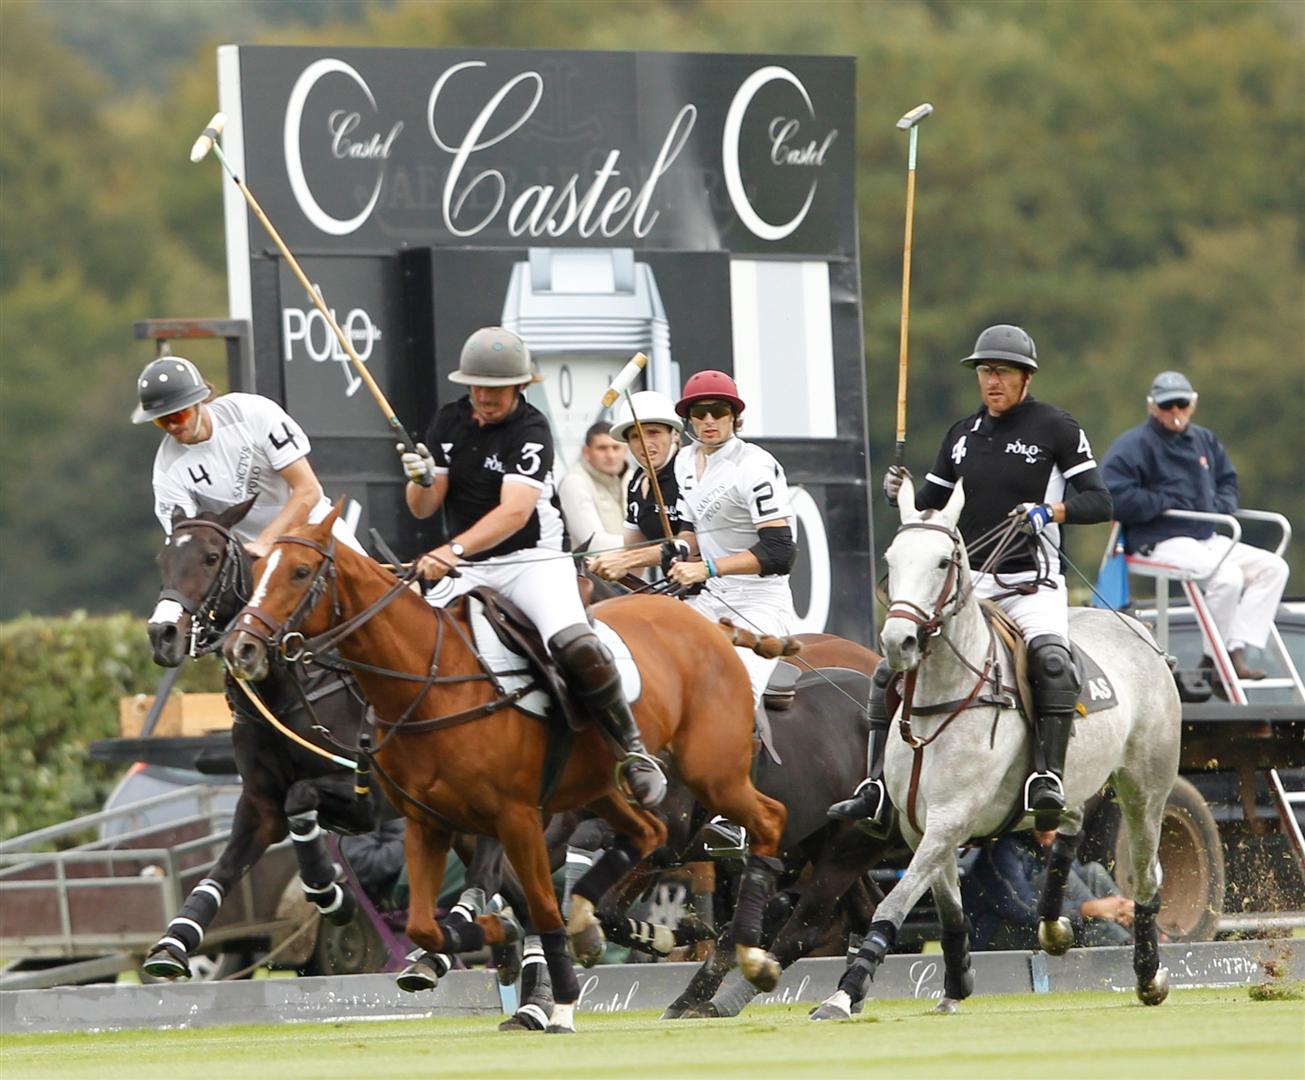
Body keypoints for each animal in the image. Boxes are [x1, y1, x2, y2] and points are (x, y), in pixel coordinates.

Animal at [222, 503, 788, 1033]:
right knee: (647, 834)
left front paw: (557, 1005)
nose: (240, 647)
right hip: (606, 791)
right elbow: (431, 921)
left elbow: (534, 904)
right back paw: (598, 924)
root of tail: (710, 628)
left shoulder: (514, 816)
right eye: (258, 569)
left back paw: (750, 954)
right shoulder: (430, 821)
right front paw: (484, 947)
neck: (429, 679)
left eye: (300, 572)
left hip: (711, 771)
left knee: (767, 819)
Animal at [810, 476, 1180, 1020]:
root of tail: (1138, 631)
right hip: (1076, 778)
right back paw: (1054, 926)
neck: (939, 700)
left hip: (1144, 786)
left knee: (1148, 874)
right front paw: (955, 985)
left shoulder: (951, 818)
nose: (899, 641)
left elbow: (893, 904)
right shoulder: (922, 824)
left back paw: (1149, 977)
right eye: (893, 558)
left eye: (945, 561)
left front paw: (843, 994)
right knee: (1067, 821)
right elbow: (949, 911)